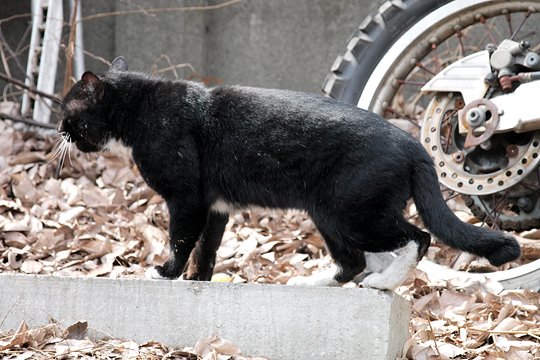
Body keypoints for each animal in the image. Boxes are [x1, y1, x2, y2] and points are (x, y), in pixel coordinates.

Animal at [61, 57, 520, 292]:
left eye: (68, 112)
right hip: (336, 214)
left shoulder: (186, 198)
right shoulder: (215, 206)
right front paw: (200, 281)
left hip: (348, 211)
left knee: (414, 239)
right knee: (356, 260)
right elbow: (206, 248)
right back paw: (316, 283)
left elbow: (180, 239)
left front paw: (166, 273)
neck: (139, 108)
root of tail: (414, 147)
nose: (60, 132)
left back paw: (382, 283)